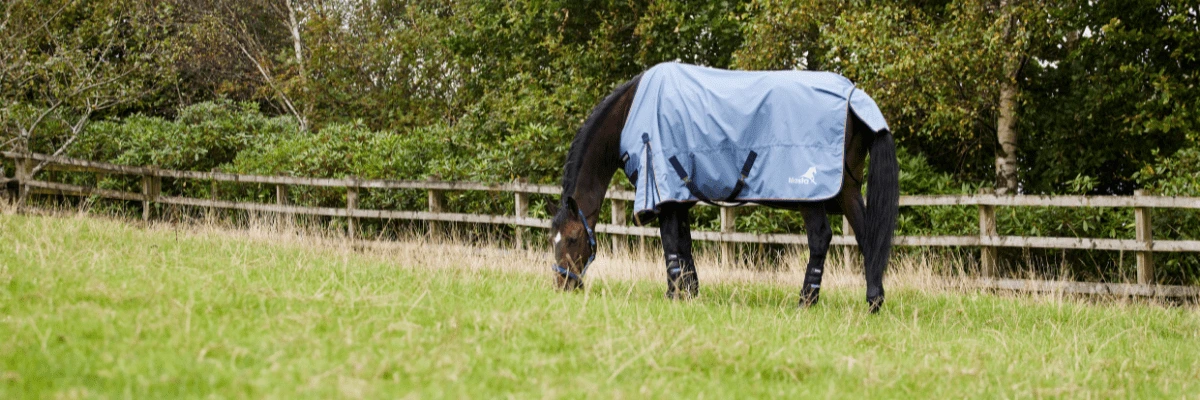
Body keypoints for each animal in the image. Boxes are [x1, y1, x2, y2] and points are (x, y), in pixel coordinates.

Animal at [550, 62, 899, 313]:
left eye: (572, 238)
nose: (562, 286)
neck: (631, 110)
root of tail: (854, 97)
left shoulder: (666, 195)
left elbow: (670, 243)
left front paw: (673, 294)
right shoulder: (679, 198)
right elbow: (683, 244)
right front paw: (690, 291)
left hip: (810, 196)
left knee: (820, 239)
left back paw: (806, 302)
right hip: (847, 190)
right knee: (867, 237)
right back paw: (874, 302)